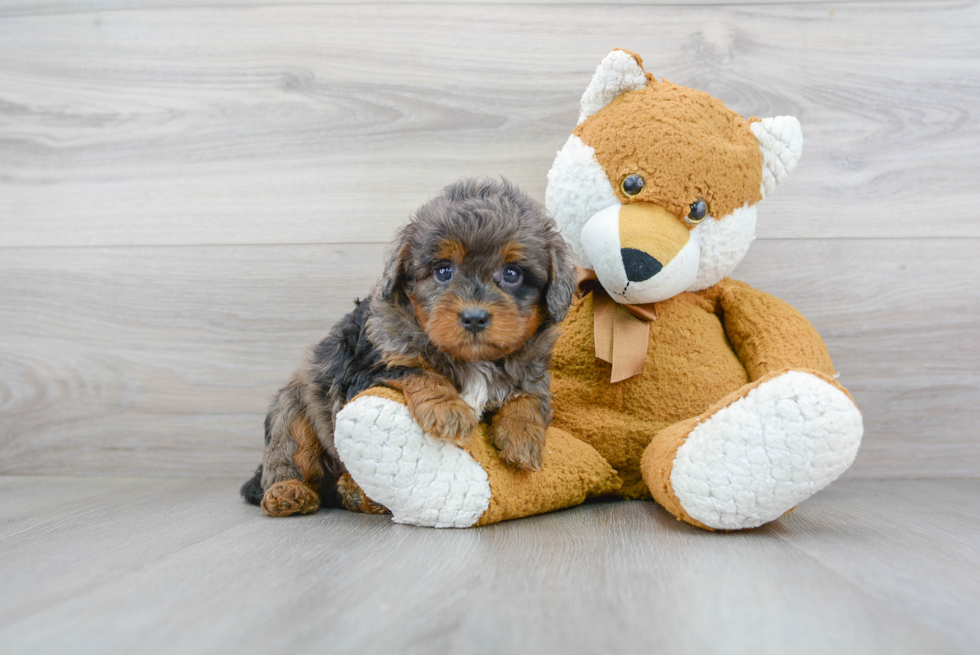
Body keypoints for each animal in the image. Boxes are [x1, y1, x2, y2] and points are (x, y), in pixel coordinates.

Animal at [242, 179, 580, 516]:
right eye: (443, 271)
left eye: (512, 274)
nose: (474, 317)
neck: (473, 359)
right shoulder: (365, 369)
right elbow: (417, 371)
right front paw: (449, 410)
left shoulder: (533, 371)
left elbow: (528, 397)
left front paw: (523, 439)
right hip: (294, 411)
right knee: (288, 456)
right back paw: (291, 492)